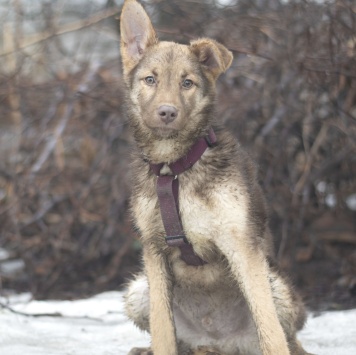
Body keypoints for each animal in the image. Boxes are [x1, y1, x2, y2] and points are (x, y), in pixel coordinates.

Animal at [119, 1, 308, 354]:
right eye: (150, 79)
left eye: (187, 83)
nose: (167, 112)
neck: (175, 169)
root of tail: (218, 344)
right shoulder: (154, 252)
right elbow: (163, 331)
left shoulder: (241, 246)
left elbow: (270, 331)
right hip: (139, 289)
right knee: (174, 338)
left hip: (277, 286)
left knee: (285, 337)